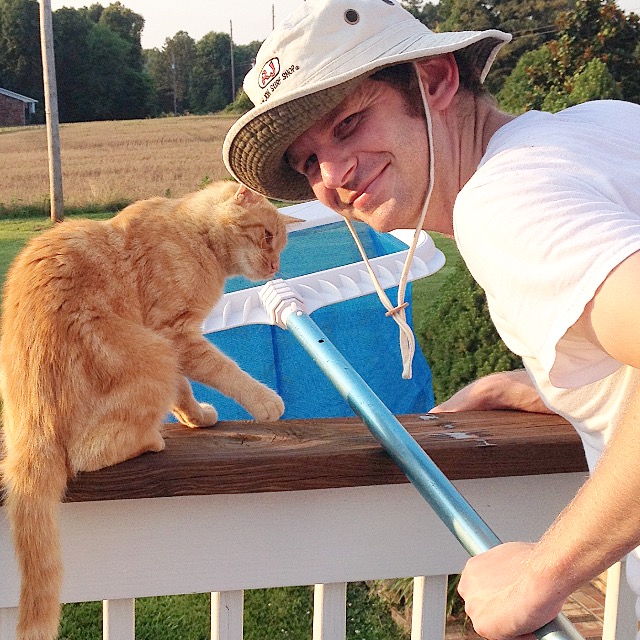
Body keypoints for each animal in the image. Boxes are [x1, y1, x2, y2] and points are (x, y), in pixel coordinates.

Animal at [0, 180, 290, 640]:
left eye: (279, 244)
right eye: (266, 236)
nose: (275, 265)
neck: (194, 234)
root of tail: (31, 430)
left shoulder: (176, 340)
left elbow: (184, 391)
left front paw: (194, 418)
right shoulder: (174, 335)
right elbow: (220, 372)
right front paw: (262, 401)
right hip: (154, 355)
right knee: (85, 456)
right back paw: (152, 439)